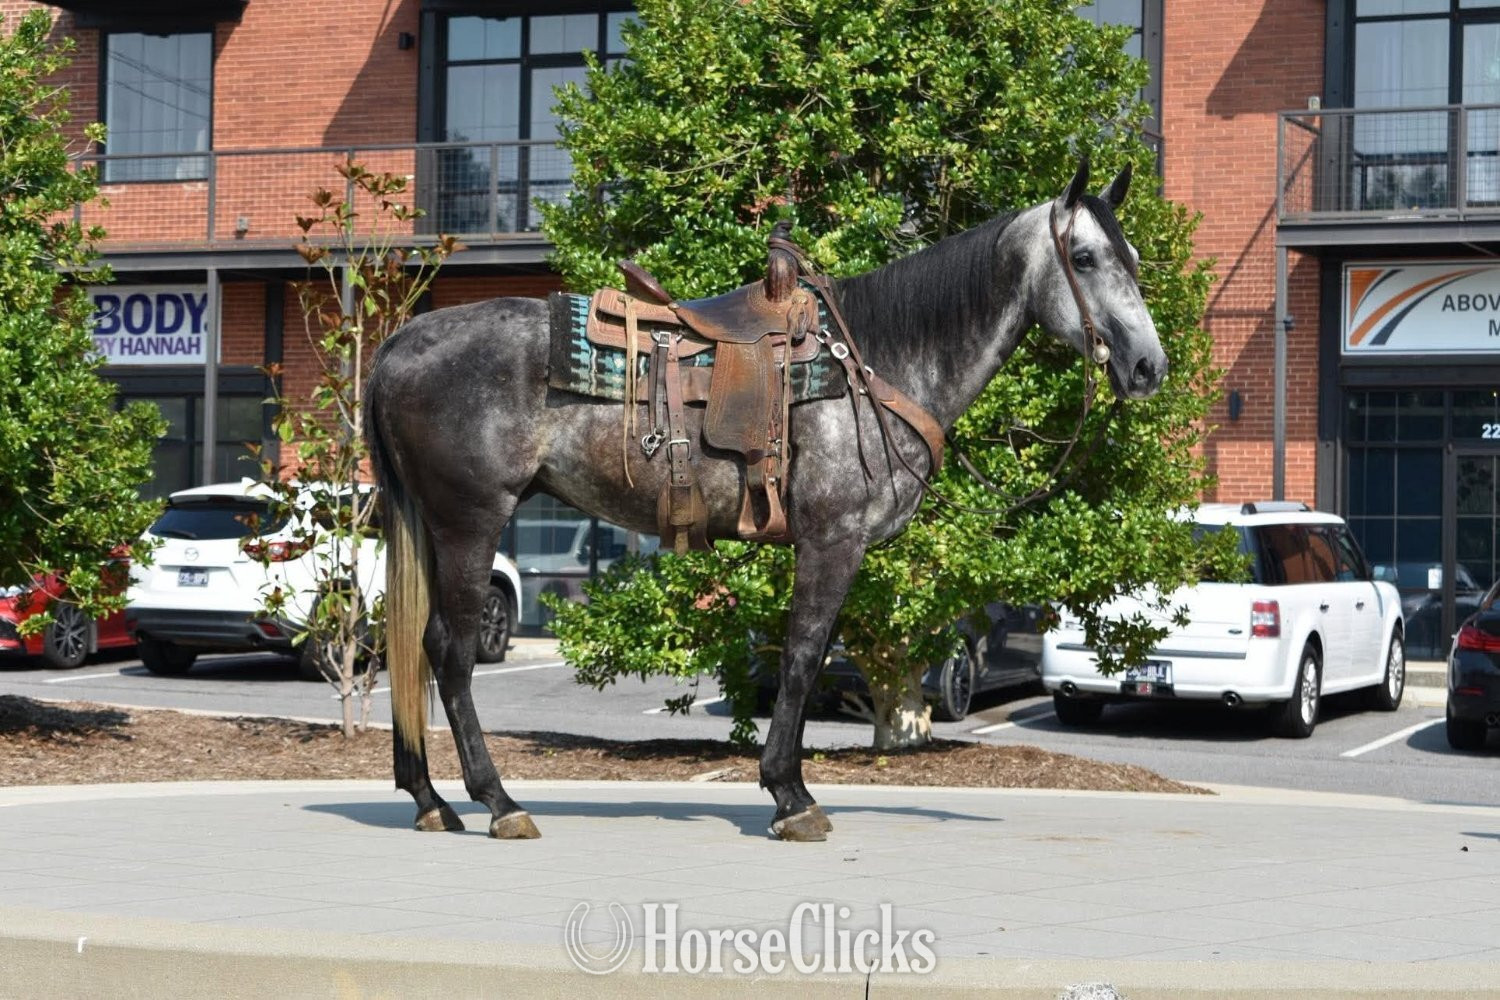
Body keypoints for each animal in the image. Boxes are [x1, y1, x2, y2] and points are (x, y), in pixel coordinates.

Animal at [365, 156, 1166, 842]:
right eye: (1084, 258)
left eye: (1131, 259)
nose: (1148, 367)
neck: (873, 365)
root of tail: (402, 342)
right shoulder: (832, 540)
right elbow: (804, 657)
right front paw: (791, 796)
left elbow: (803, 657)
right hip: (470, 521)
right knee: (449, 650)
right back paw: (498, 802)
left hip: (434, 526)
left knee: (417, 645)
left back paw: (431, 800)